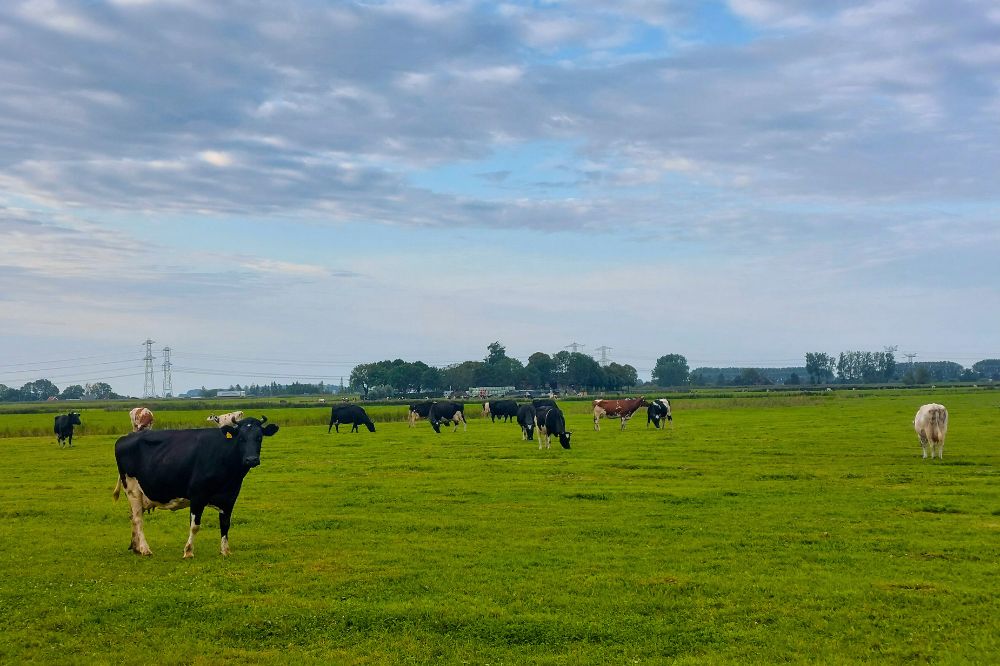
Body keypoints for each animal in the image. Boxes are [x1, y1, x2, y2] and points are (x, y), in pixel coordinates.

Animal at [111, 416, 280, 556]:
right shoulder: (197, 496)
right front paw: (188, 551)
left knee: (133, 517)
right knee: (138, 519)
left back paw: (135, 547)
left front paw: (225, 551)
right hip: (132, 489)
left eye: (259, 437)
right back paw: (145, 549)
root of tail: (126, 437)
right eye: (241, 438)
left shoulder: (229, 497)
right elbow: (195, 526)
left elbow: (225, 524)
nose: (251, 459)